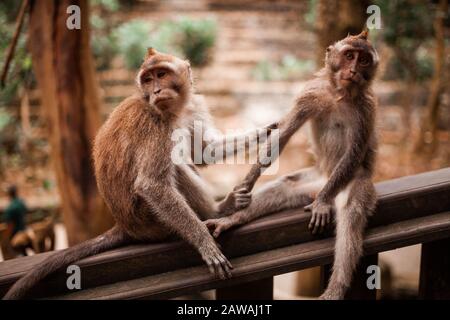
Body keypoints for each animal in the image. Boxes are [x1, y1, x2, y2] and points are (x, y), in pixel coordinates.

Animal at [3, 48, 272, 298]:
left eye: (161, 75)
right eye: (148, 79)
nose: (156, 91)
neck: (173, 111)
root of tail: (125, 225)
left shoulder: (193, 107)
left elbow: (206, 152)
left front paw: (264, 132)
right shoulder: (154, 124)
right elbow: (152, 184)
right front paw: (204, 242)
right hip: (150, 220)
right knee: (174, 169)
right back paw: (217, 211)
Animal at [206, 30, 378, 300]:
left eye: (363, 60)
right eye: (350, 55)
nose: (353, 70)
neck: (339, 94)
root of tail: (324, 180)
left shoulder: (366, 108)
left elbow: (354, 152)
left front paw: (322, 203)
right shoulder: (309, 95)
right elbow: (283, 135)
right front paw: (244, 186)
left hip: (350, 182)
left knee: (351, 213)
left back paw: (335, 287)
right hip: (313, 181)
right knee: (284, 187)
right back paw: (232, 220)